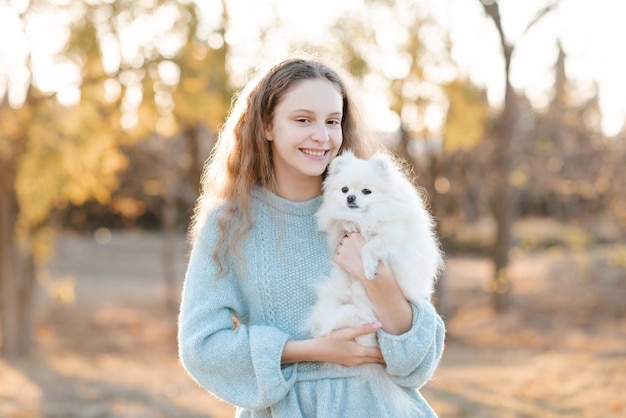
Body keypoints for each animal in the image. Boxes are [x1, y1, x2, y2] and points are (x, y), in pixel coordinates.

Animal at [304, 149, 442, 414]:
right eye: (344, 189)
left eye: (367, 191)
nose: (351, 198)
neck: (366, 217)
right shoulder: (340, 235)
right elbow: (343, 226)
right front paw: (348, 223)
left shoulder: (392, 236)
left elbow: (371, 245)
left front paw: (368, 267)